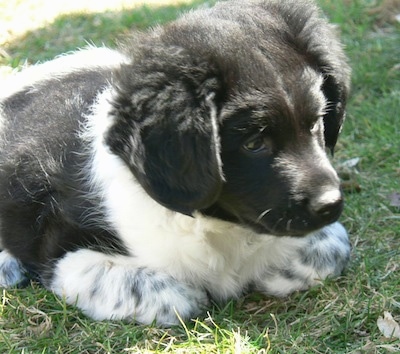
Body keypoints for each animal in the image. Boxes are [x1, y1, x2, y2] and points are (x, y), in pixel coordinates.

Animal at [0, 0, 350, 326]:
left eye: (316, 123)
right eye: (253, 143)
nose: (331, 204)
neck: (217, 229)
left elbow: (334, 247)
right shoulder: (60, 249)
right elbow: (171, 296)